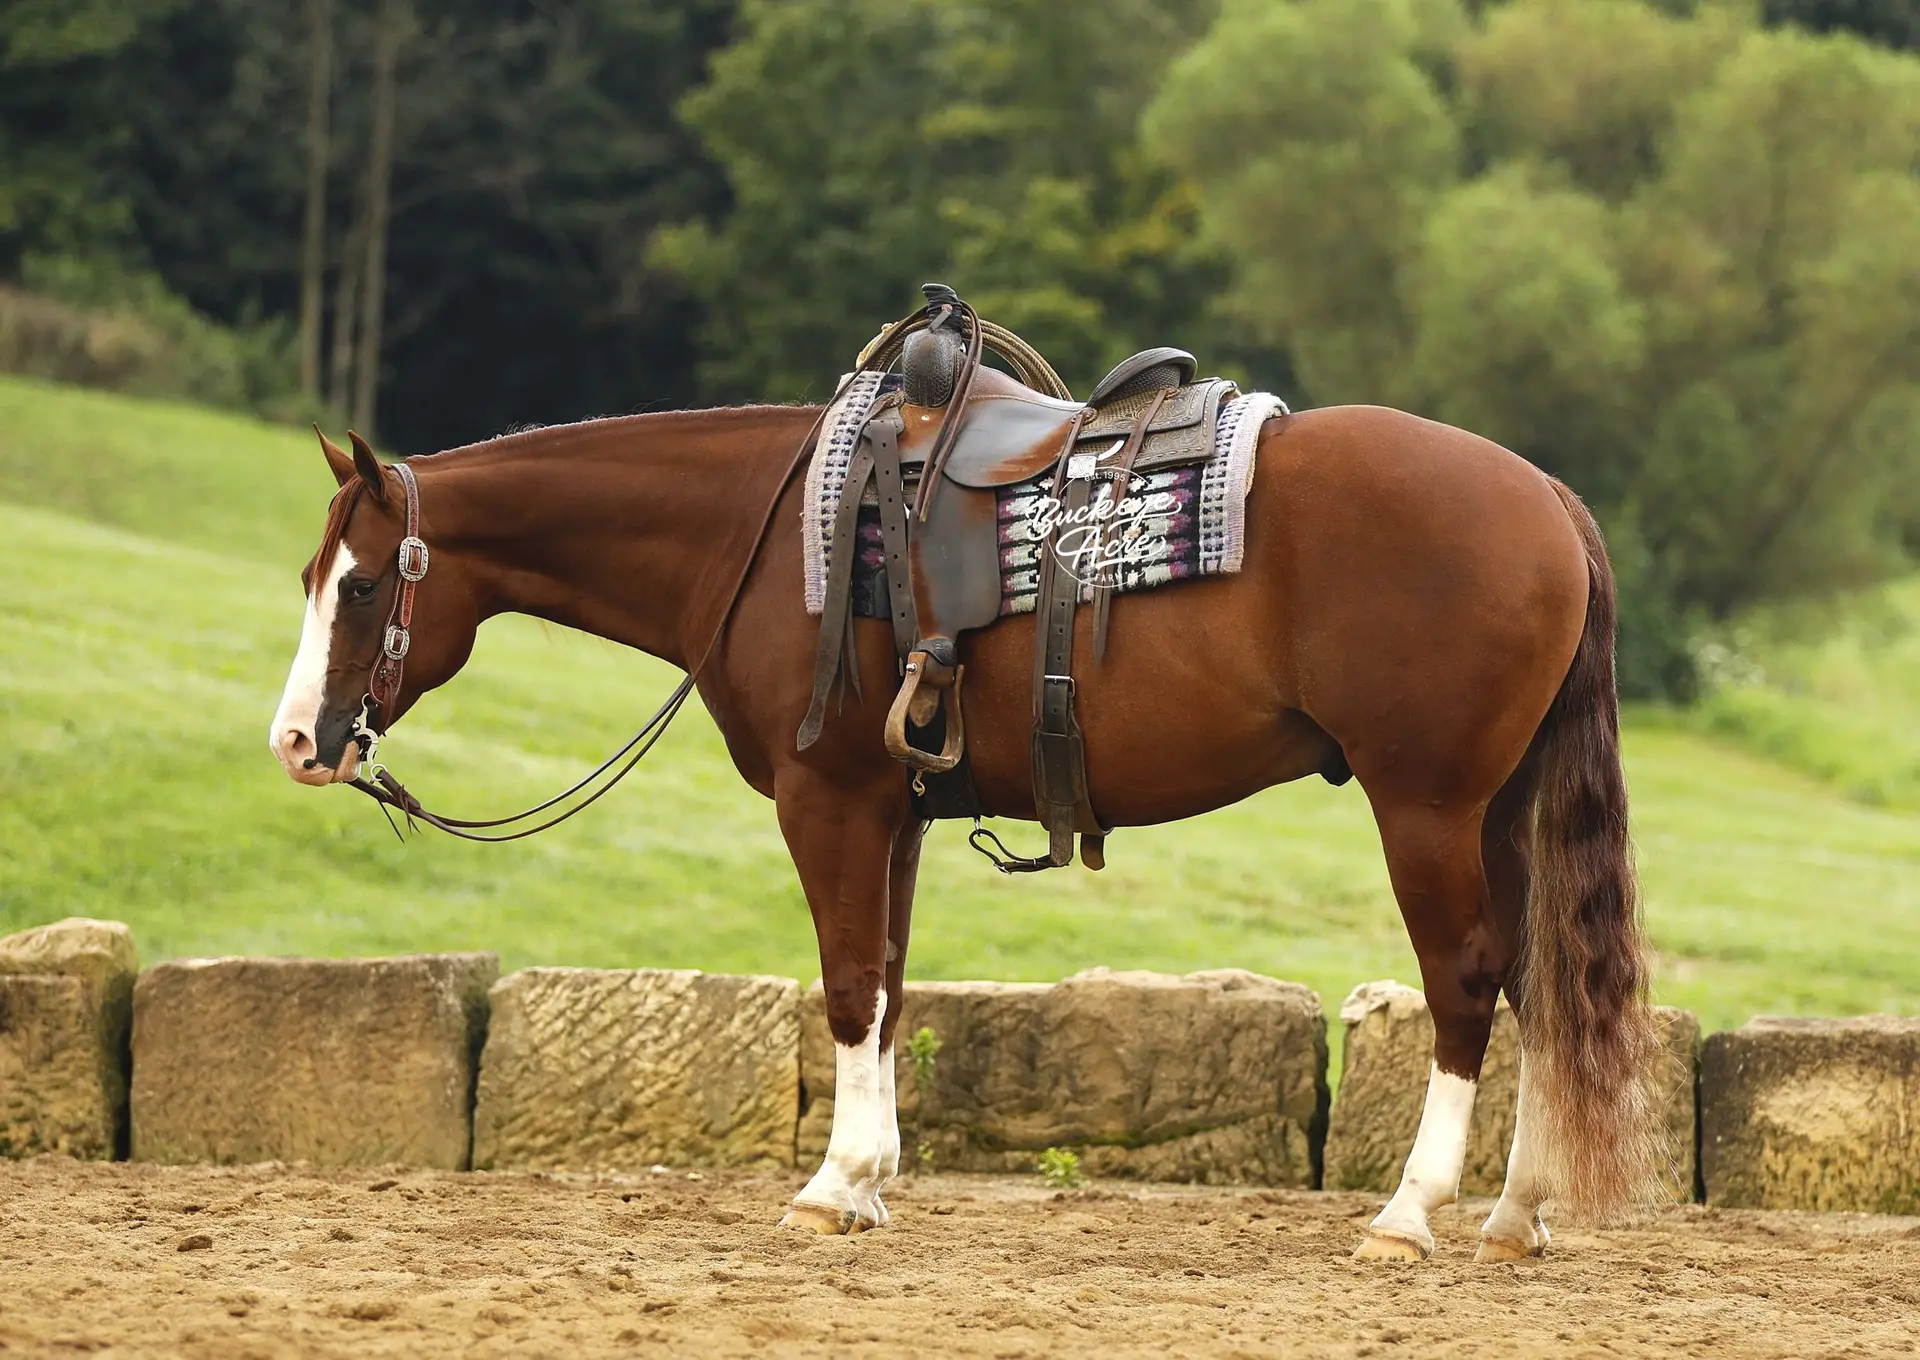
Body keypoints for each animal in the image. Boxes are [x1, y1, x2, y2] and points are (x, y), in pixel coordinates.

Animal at [268, 397, 1657, 1263]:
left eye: (360, 584)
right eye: (313, 577)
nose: (296, 742)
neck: (774, 535)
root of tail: (1549, 500)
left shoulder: (827, 798)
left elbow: (843, 985)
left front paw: (830, 1186)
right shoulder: (897, 813)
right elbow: (886, 984)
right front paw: (871, 1182)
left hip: (1424, 806)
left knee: (1466, 986)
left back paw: (1411, 1212)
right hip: (1497, 812)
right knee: (1536, 984)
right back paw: (1518, 1214)